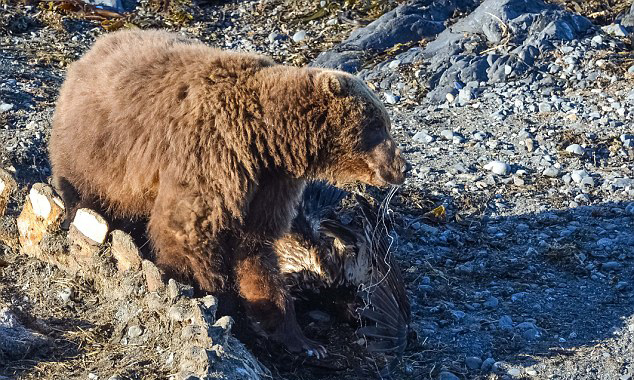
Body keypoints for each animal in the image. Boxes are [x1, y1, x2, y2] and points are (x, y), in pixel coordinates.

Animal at [48, 30, 404, 356]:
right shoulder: (212, 154)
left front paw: (299, 337)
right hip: (96, 153)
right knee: (85, 194)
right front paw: (212, 299)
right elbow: (188, 232)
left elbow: (256, 249)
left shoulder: (268, 185)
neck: (267, 140)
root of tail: (89, 54)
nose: (402, 167)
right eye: (379, 125)